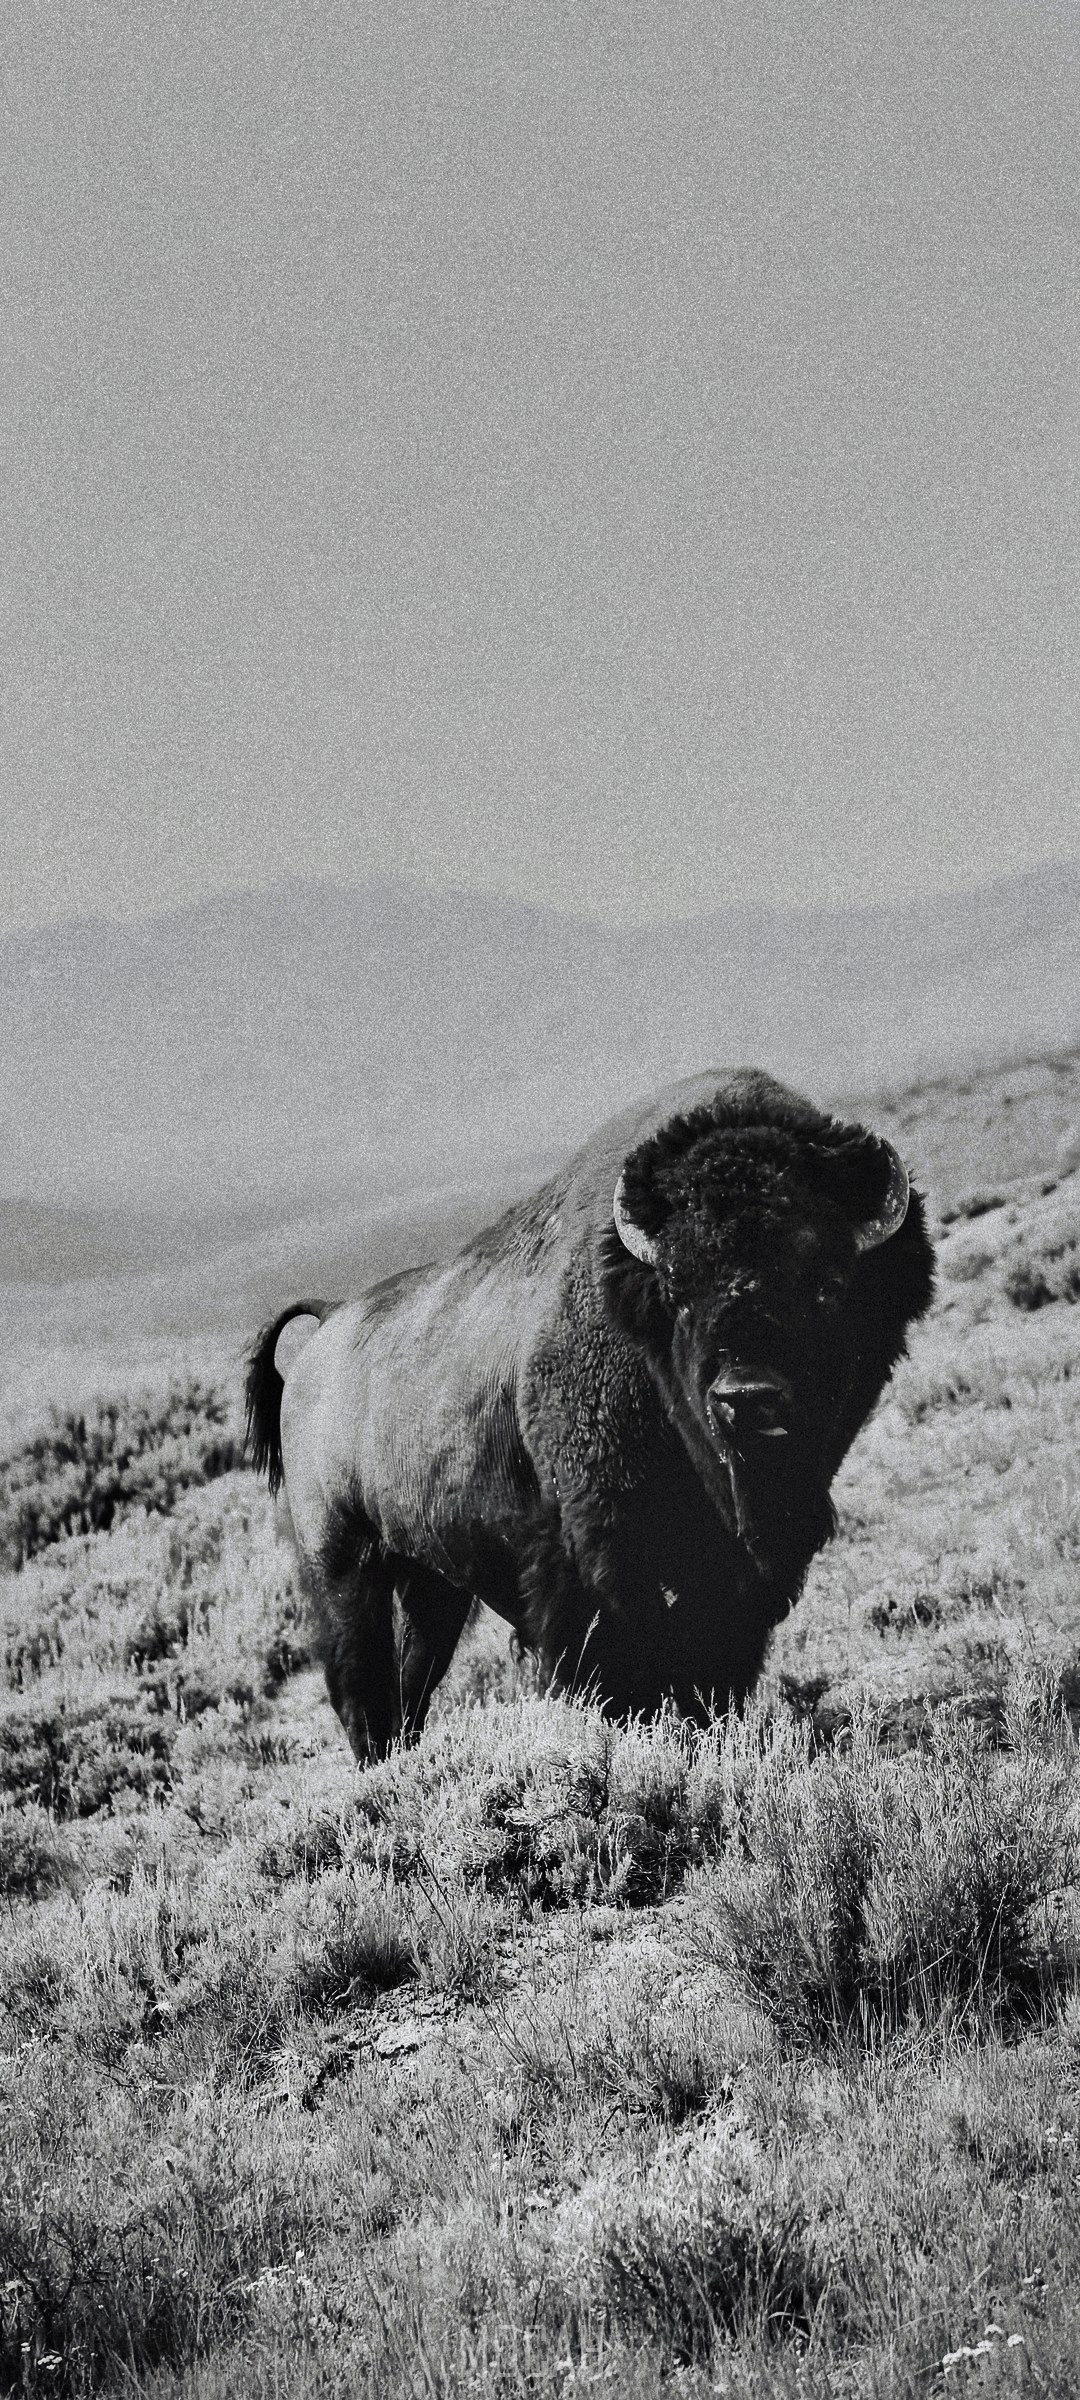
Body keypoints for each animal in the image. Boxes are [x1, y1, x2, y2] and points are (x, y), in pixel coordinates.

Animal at [246, 1069, 934, 1760]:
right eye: (679, 1290)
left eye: (829, 1286)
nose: (746, 1394)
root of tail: (330, 1321)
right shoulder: (594, 1551)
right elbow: (615, 1666)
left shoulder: (741, 1572)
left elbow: (714, 1664)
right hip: (341, 1561)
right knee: (360, 1684)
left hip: (431, 1582)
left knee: (414, 1679)